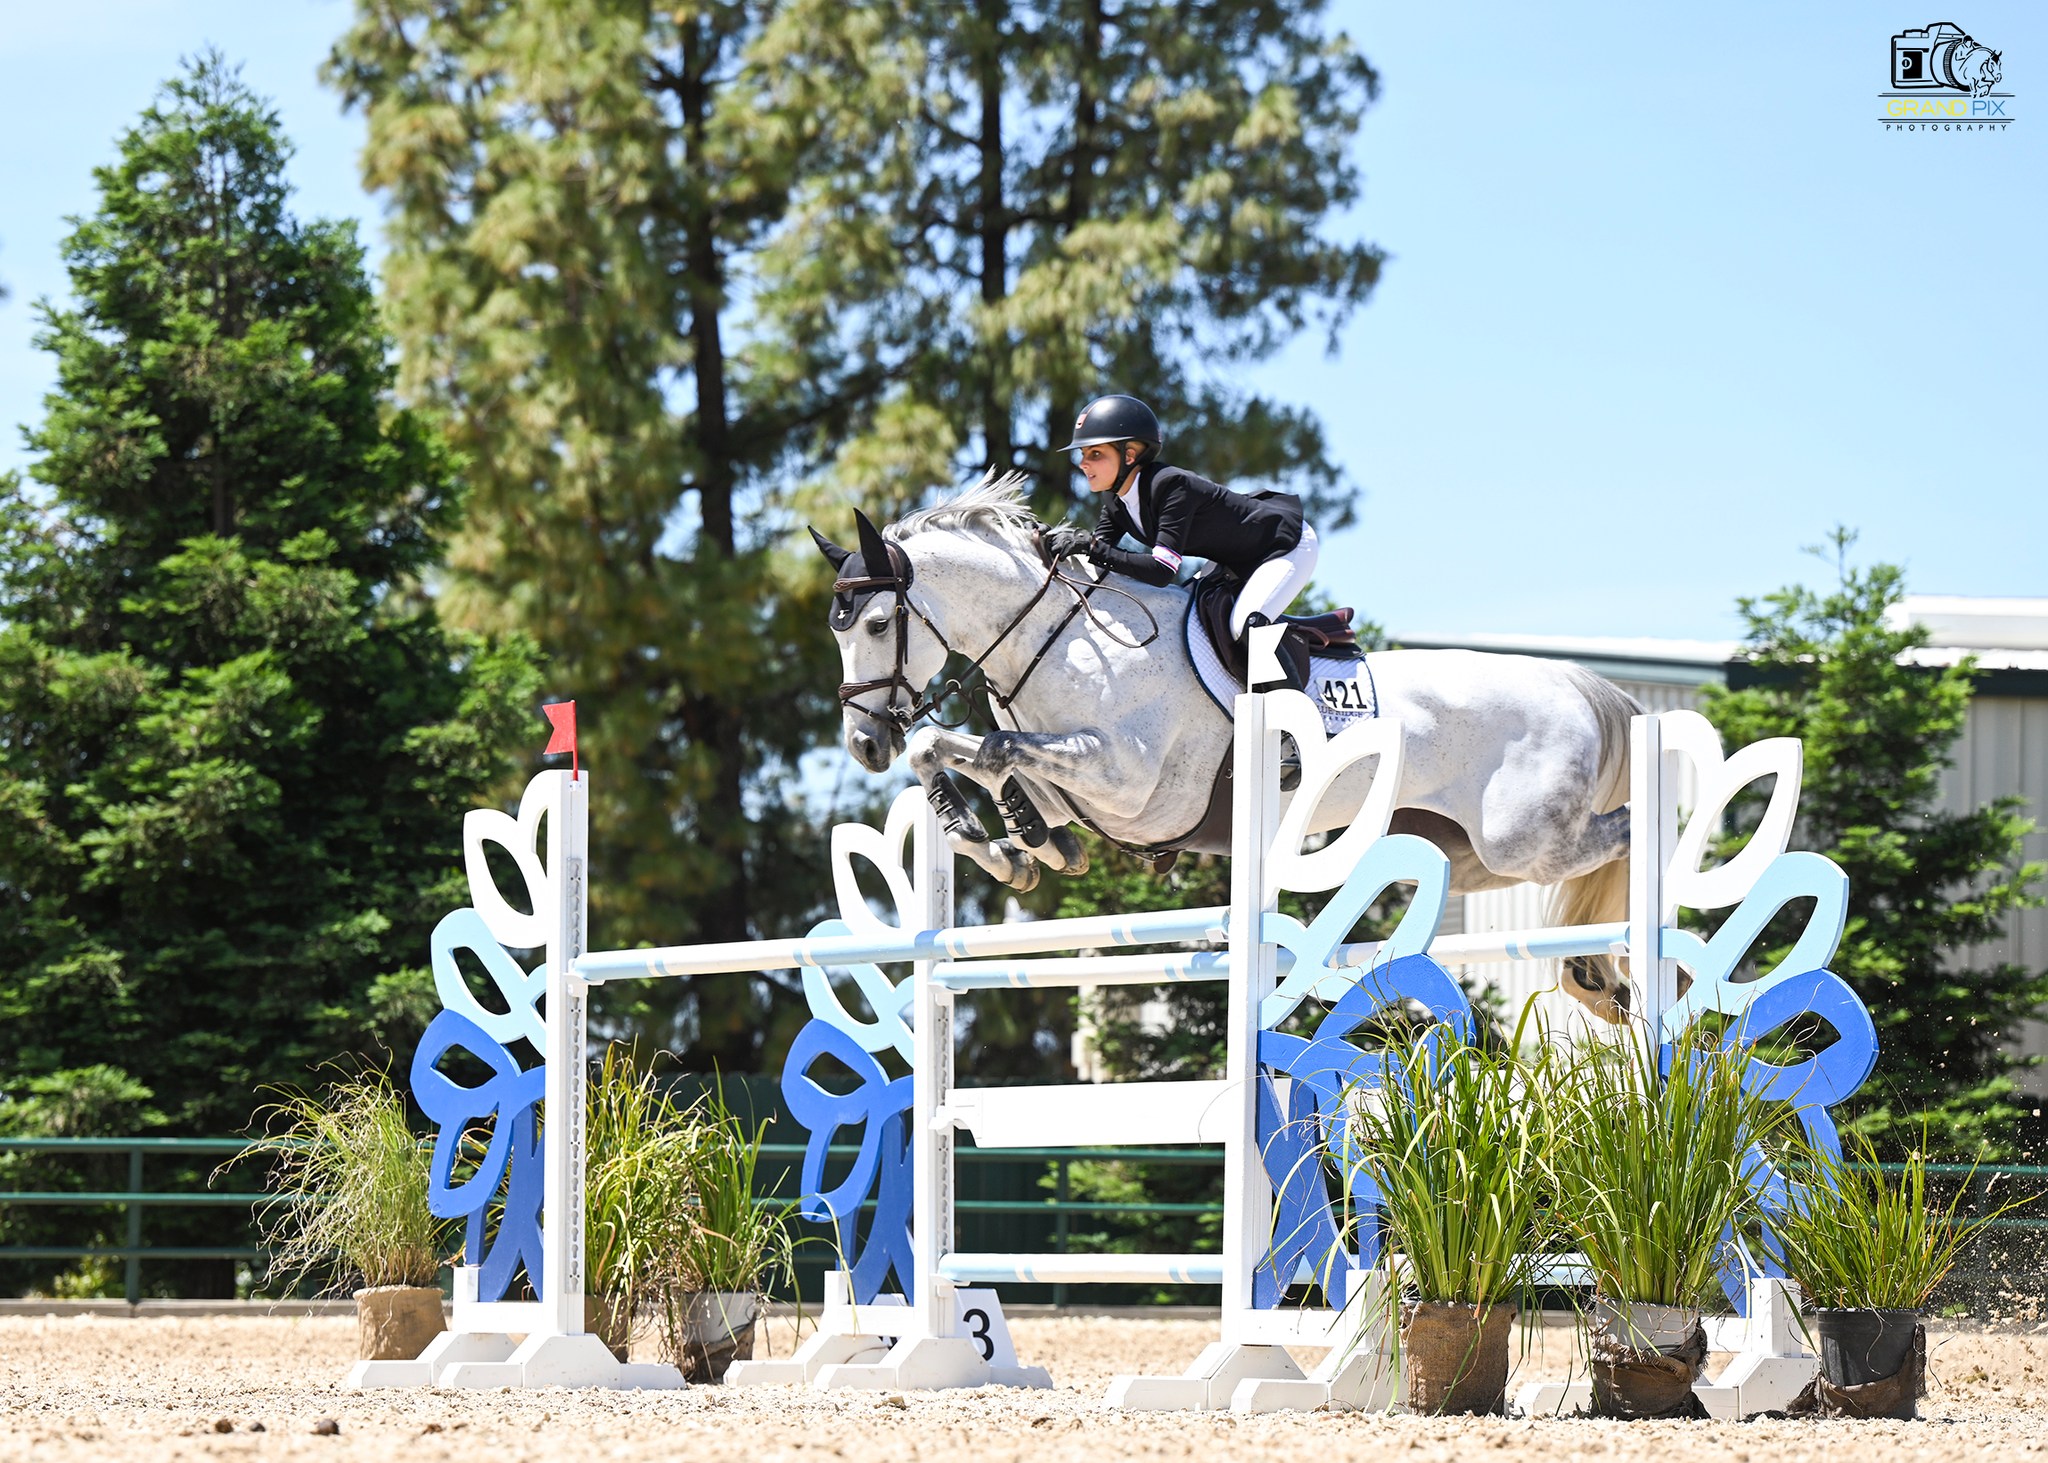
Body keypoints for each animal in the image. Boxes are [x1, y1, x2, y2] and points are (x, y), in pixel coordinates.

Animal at [806, 475, 1638, 1016]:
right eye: (835, 631)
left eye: (877, 623)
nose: (864, 743)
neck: (1062, 635)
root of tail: (1575, 684)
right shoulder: (1082, 787)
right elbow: (962, 752)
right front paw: (1014, 845)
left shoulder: (1131, 785)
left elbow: (992, 746)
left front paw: (1012, 839)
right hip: (1468, 858)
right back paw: (1596, 975)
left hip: (1522, 837)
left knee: (1624, 834)